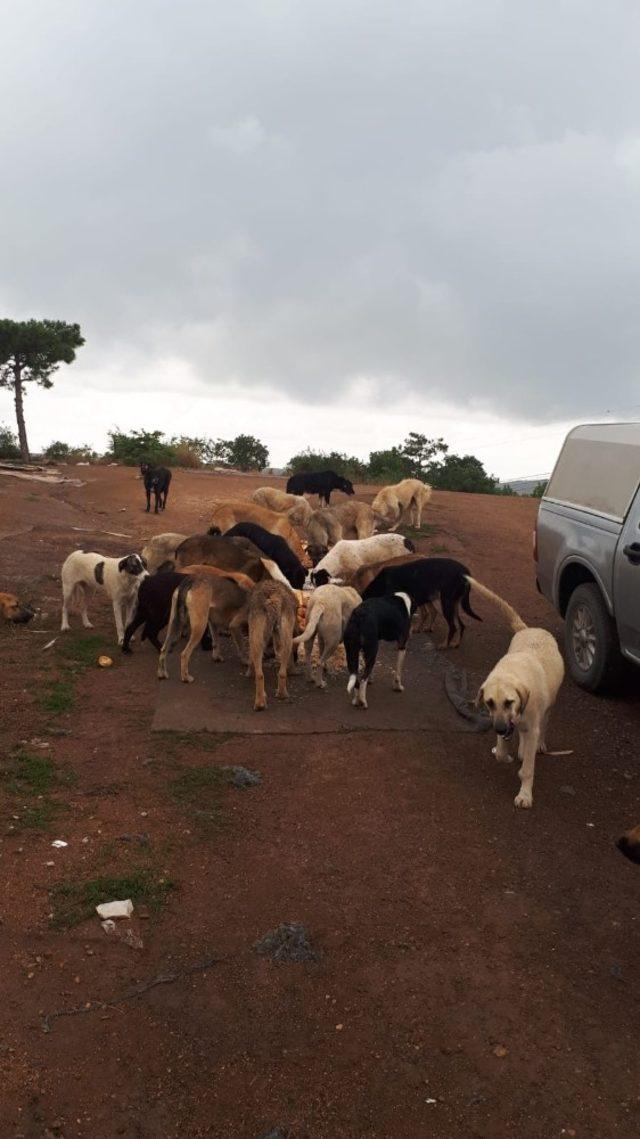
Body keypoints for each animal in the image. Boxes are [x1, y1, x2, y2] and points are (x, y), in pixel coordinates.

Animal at [469, 578, 562, 810]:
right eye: (489, 703)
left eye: (509, 702)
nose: (501, 729)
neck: (511, 672)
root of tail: (530, 629)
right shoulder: (504, 722)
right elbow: (502, 753)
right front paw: (506, 755)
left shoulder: (528, 720)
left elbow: (528, 768)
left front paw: (525, 794)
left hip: (548, 708)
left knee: (543, 726)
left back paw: (537, 744)